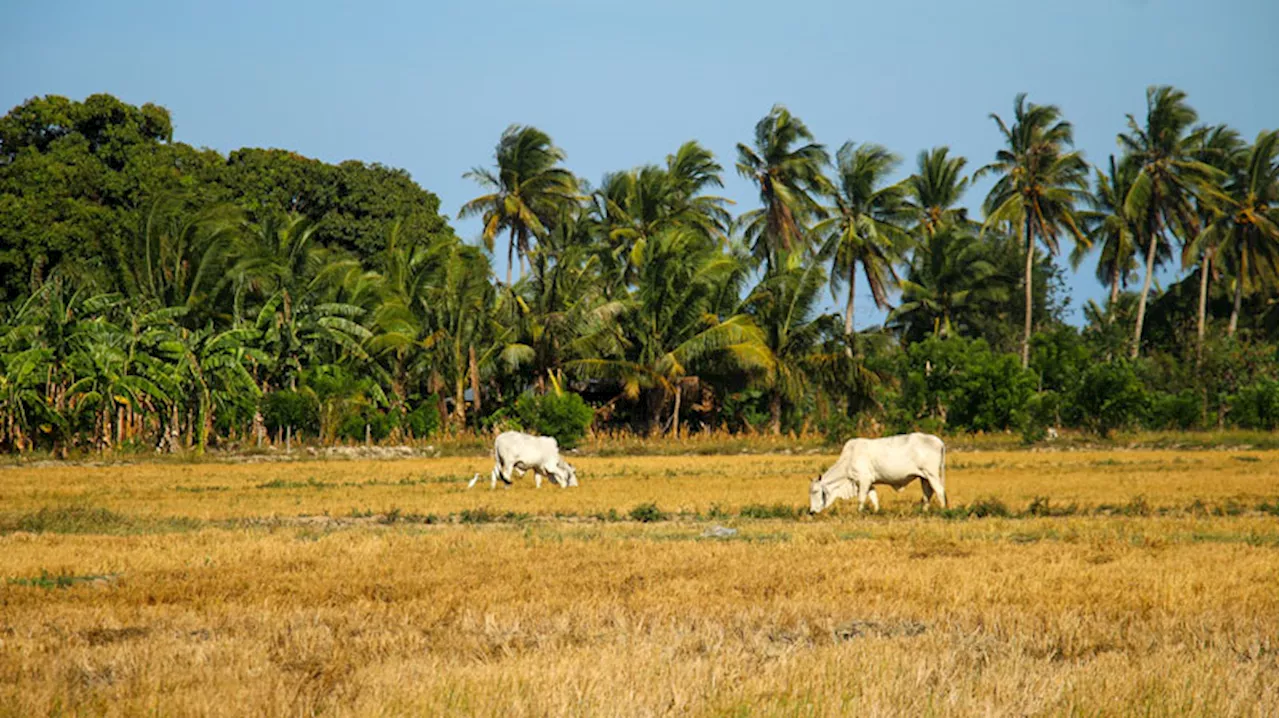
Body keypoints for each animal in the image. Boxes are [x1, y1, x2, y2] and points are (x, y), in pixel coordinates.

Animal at [814, 430, 947, 509]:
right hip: (924, 477)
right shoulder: (869, 482)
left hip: (932, 474)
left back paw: (942, 509)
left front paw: (859, 512)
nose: (811, 512)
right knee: (928, 493)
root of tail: (939, 442)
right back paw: (925, 510)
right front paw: (876, 511)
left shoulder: (864, 480)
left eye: (815, 491)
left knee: (939, 490)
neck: (849, 459)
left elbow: (861, 498)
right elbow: (874, 497)